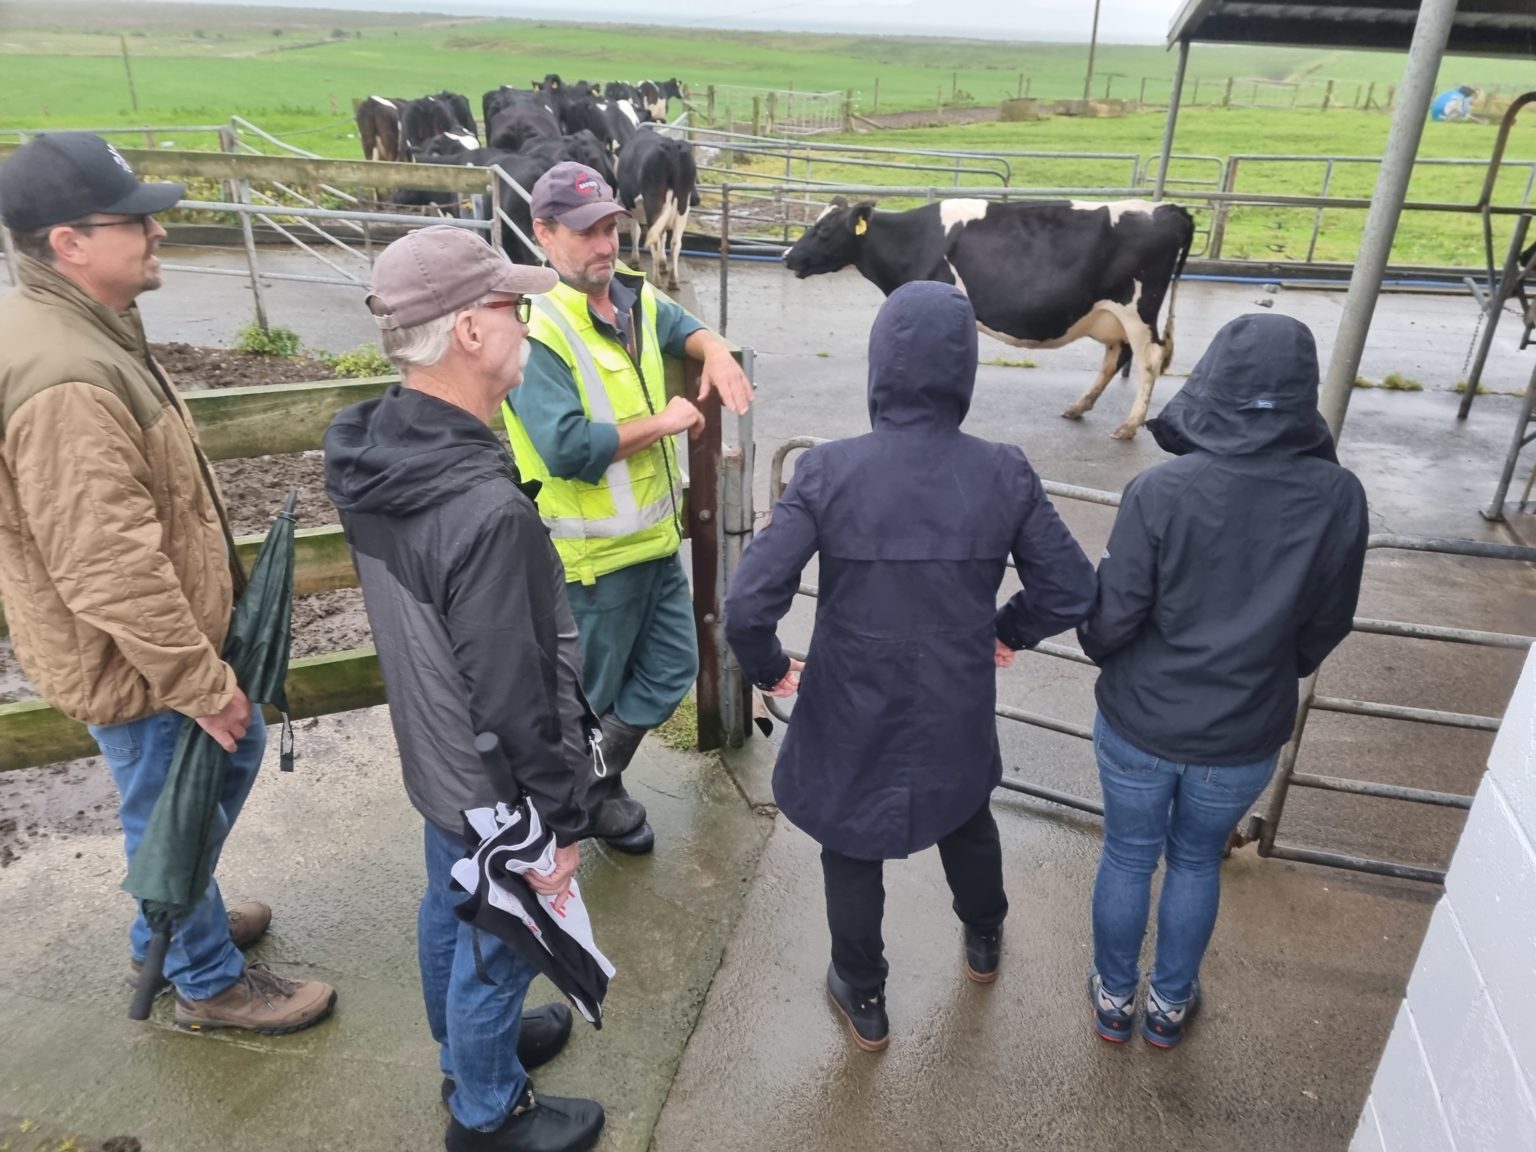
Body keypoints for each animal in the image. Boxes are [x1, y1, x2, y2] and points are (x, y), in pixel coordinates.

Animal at [617, 129, 703, 293]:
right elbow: (663, 235)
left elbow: (635, 232)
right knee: (676, 242)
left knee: (654, 238)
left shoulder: (629, 205)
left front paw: (635, 261)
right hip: (682, 205)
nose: (696, 199)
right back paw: (673, 281)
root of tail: (672, 146)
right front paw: (663, 263)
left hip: (654, 201)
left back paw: (656, 280)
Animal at [786, 196, 1191, 439]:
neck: (914, 241)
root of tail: (1169, 208)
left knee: (1149, 360)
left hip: (1138, 309)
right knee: (1115, 357)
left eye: (823, 230)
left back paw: (1129, 425)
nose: (788, 256)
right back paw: (1078, 407)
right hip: (1111, 314)